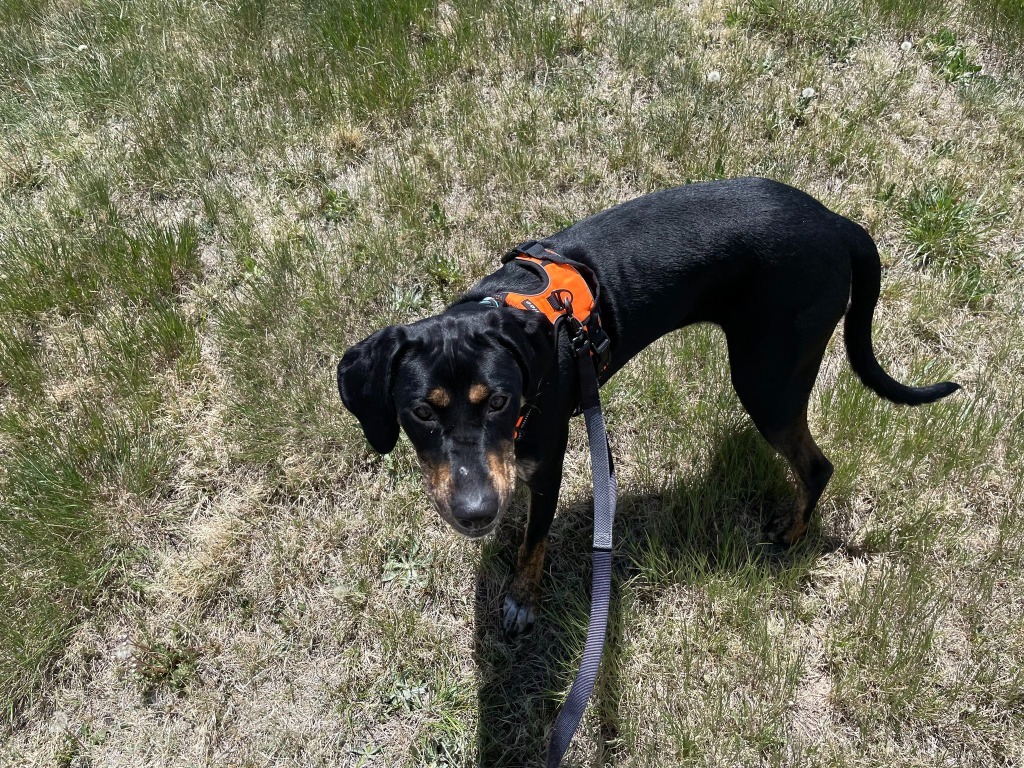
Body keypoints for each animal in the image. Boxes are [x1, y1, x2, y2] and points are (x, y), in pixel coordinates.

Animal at [337, 179, 958, 638]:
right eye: (421, 412)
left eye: (500, 402)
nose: (476, 512)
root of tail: (838, 223)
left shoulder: (550, 461)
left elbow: (534, 542)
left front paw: (521, 599)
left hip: (768, 380)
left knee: (817, 465)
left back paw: (790, 532)